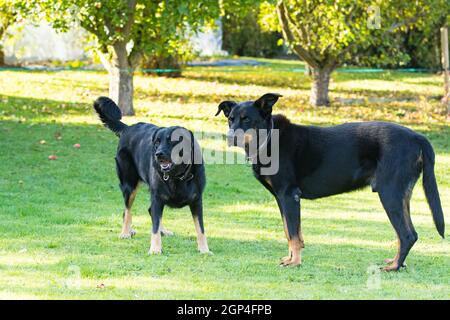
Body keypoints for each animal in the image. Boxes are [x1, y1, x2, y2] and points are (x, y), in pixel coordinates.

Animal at [94, 97, 210, 255]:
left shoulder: (197, 201)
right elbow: (153, 228)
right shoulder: (157, 198)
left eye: (173, 140)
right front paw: (155, 249)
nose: (158, 154)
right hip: (129, 185)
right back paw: (125, 232)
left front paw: (204, 249)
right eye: (157, 142)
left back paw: (163, 231)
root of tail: (128, 128)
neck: (177, 176)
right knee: (127, 211)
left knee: (148, 212)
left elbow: (200, 228)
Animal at [216, 92, 444, 270]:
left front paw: (295, 262)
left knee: (407, 234)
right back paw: (397, 262)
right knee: (405, 234)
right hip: (401, 195)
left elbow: (293, 233)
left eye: (247, 120)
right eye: (230, 119)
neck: (269, 138)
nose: (229, 137)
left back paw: (394, 267)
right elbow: (290, 231)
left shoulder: (289, 195)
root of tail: (417, 137)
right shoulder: (282, 199)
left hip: (390, 193)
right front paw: (291, 258)